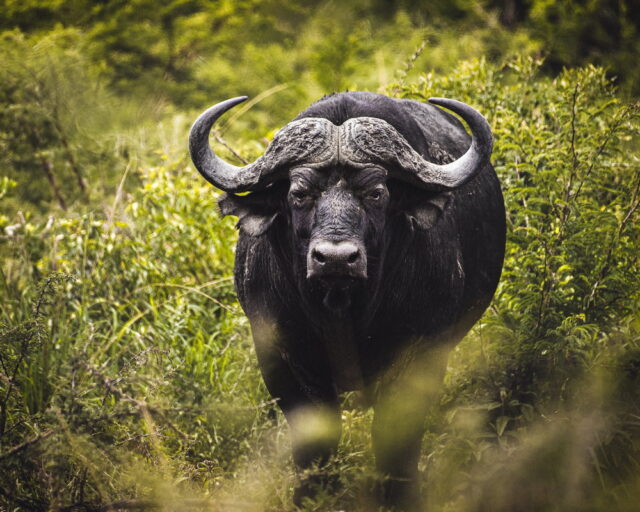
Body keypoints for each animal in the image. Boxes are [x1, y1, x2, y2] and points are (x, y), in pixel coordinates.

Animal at [189, 91, 504, 508]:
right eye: (299, 194)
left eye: (376, 192)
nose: (336, 258)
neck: (342, 310)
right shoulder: (280, 355)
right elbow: (314, 437)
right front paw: (310, 496)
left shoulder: (422, 353)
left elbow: (395, 435)